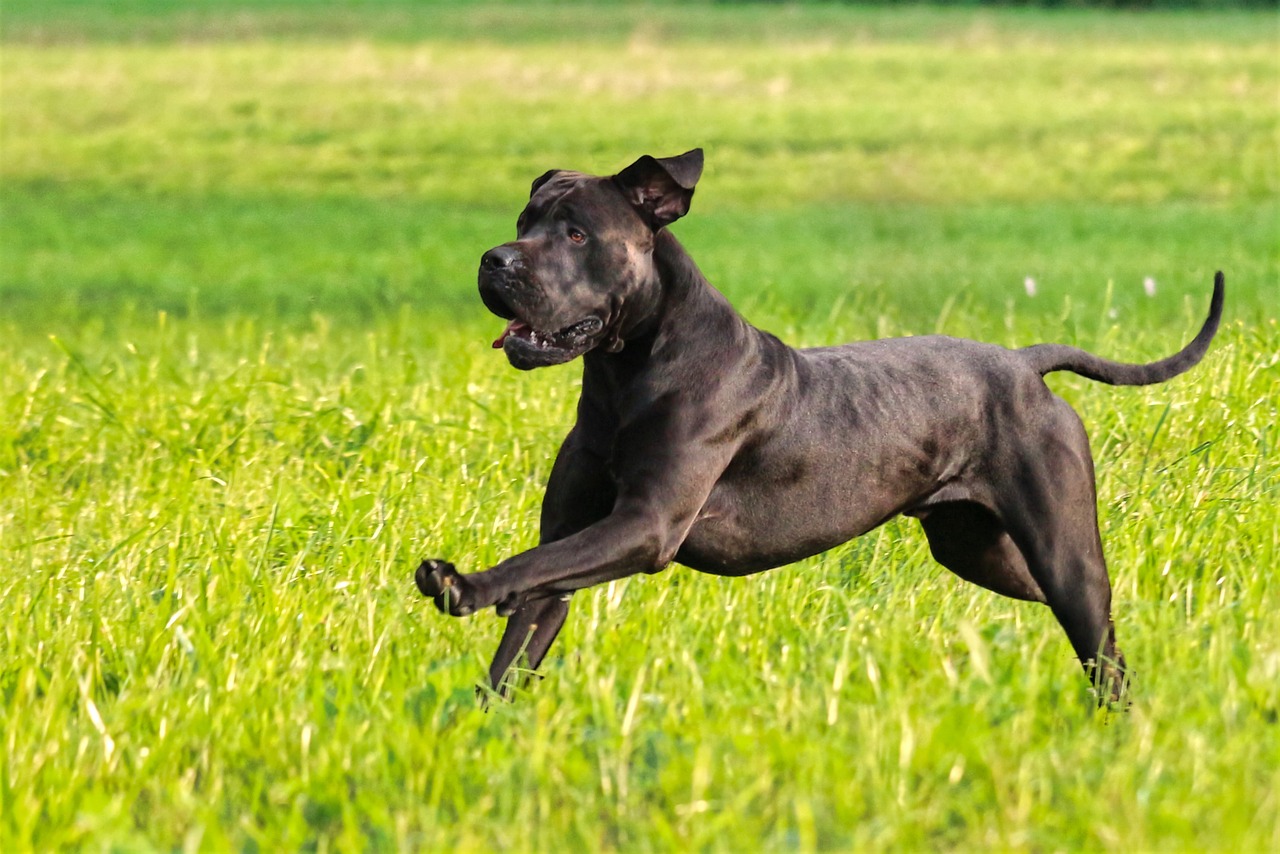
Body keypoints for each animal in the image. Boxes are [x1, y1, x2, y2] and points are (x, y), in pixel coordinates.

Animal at [414, 150, 1223, 706]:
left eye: (577, 233)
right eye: (524, 223)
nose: (493, 260)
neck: (625, 375)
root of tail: (1026, 364)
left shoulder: (644, 526)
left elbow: (526, 566)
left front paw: (461, 584)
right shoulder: (574, 542)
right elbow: (523, 621)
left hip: (1056, 546)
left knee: (1100, 639)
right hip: (978, 548)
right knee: (1096, 614)